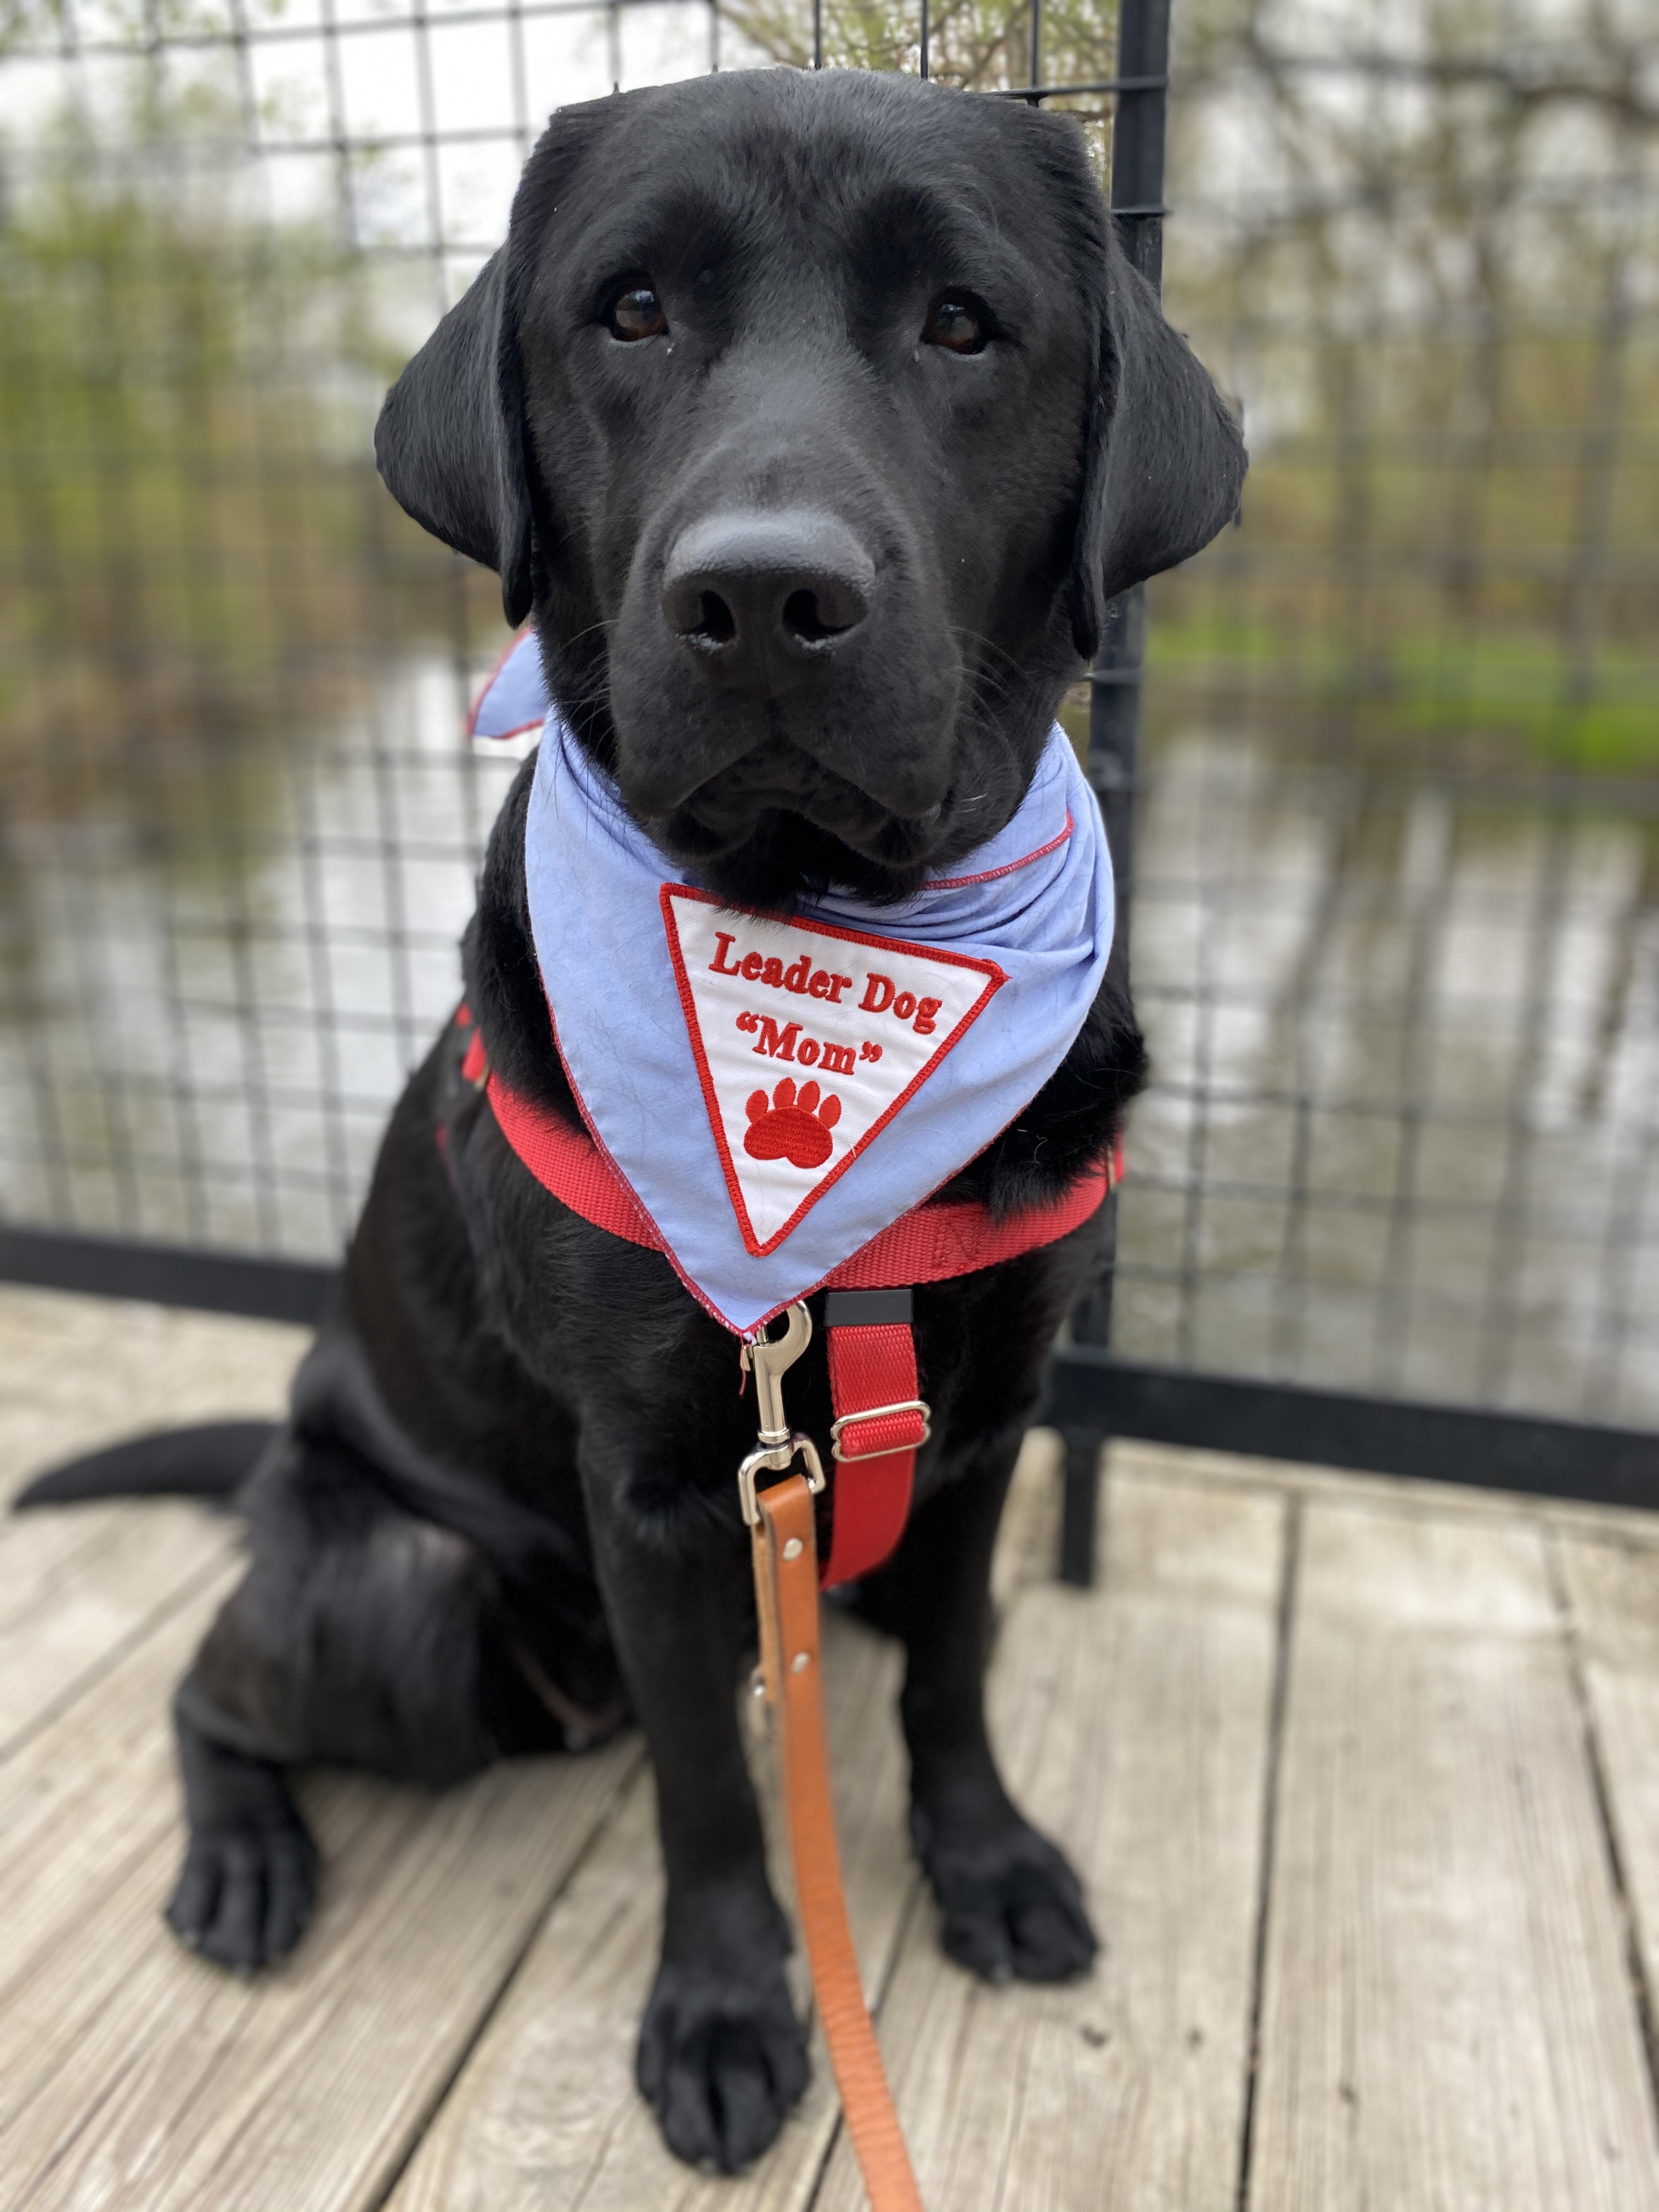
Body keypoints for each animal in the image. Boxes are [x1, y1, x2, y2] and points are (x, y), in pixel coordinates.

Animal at [26, 69, 1248, 2176]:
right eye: (631, 313)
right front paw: (727, 2011)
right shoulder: (667, 1490)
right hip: (393, 1592)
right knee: (216, 1684)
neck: (828, 937)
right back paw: (247, 1857)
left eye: (963, 326)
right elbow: (706, 1787)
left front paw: (988, 1861)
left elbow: (957, 1676)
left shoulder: (992, 1429)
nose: (761, 597)